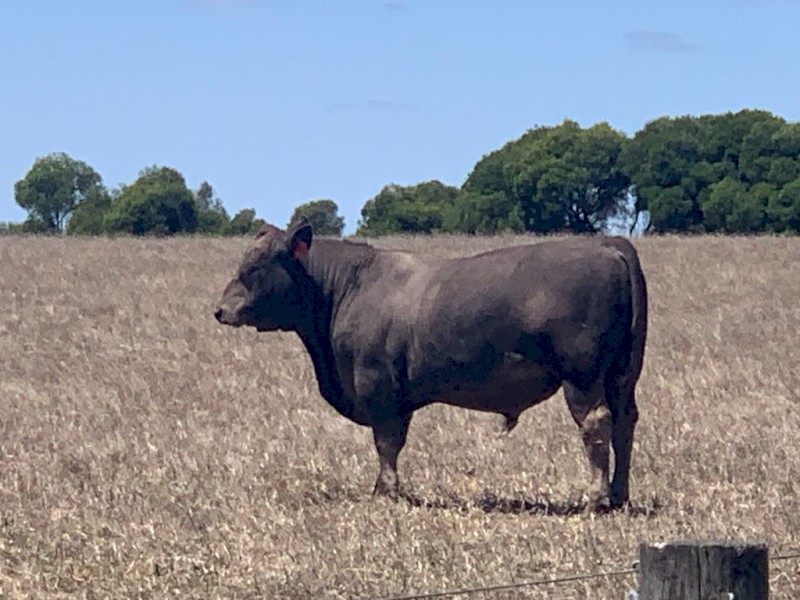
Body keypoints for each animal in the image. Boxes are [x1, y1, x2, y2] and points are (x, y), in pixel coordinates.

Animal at [214, 218, 647, 510]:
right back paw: (619, 495)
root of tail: (608, 244)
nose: (219, 310)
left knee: (596, 423)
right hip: (622, 375)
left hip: (583, 376)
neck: (348, 287)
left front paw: (386, 493)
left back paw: (595, 498)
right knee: (624, 423)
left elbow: (387, 442)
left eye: (254, 268)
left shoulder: (377, 386)